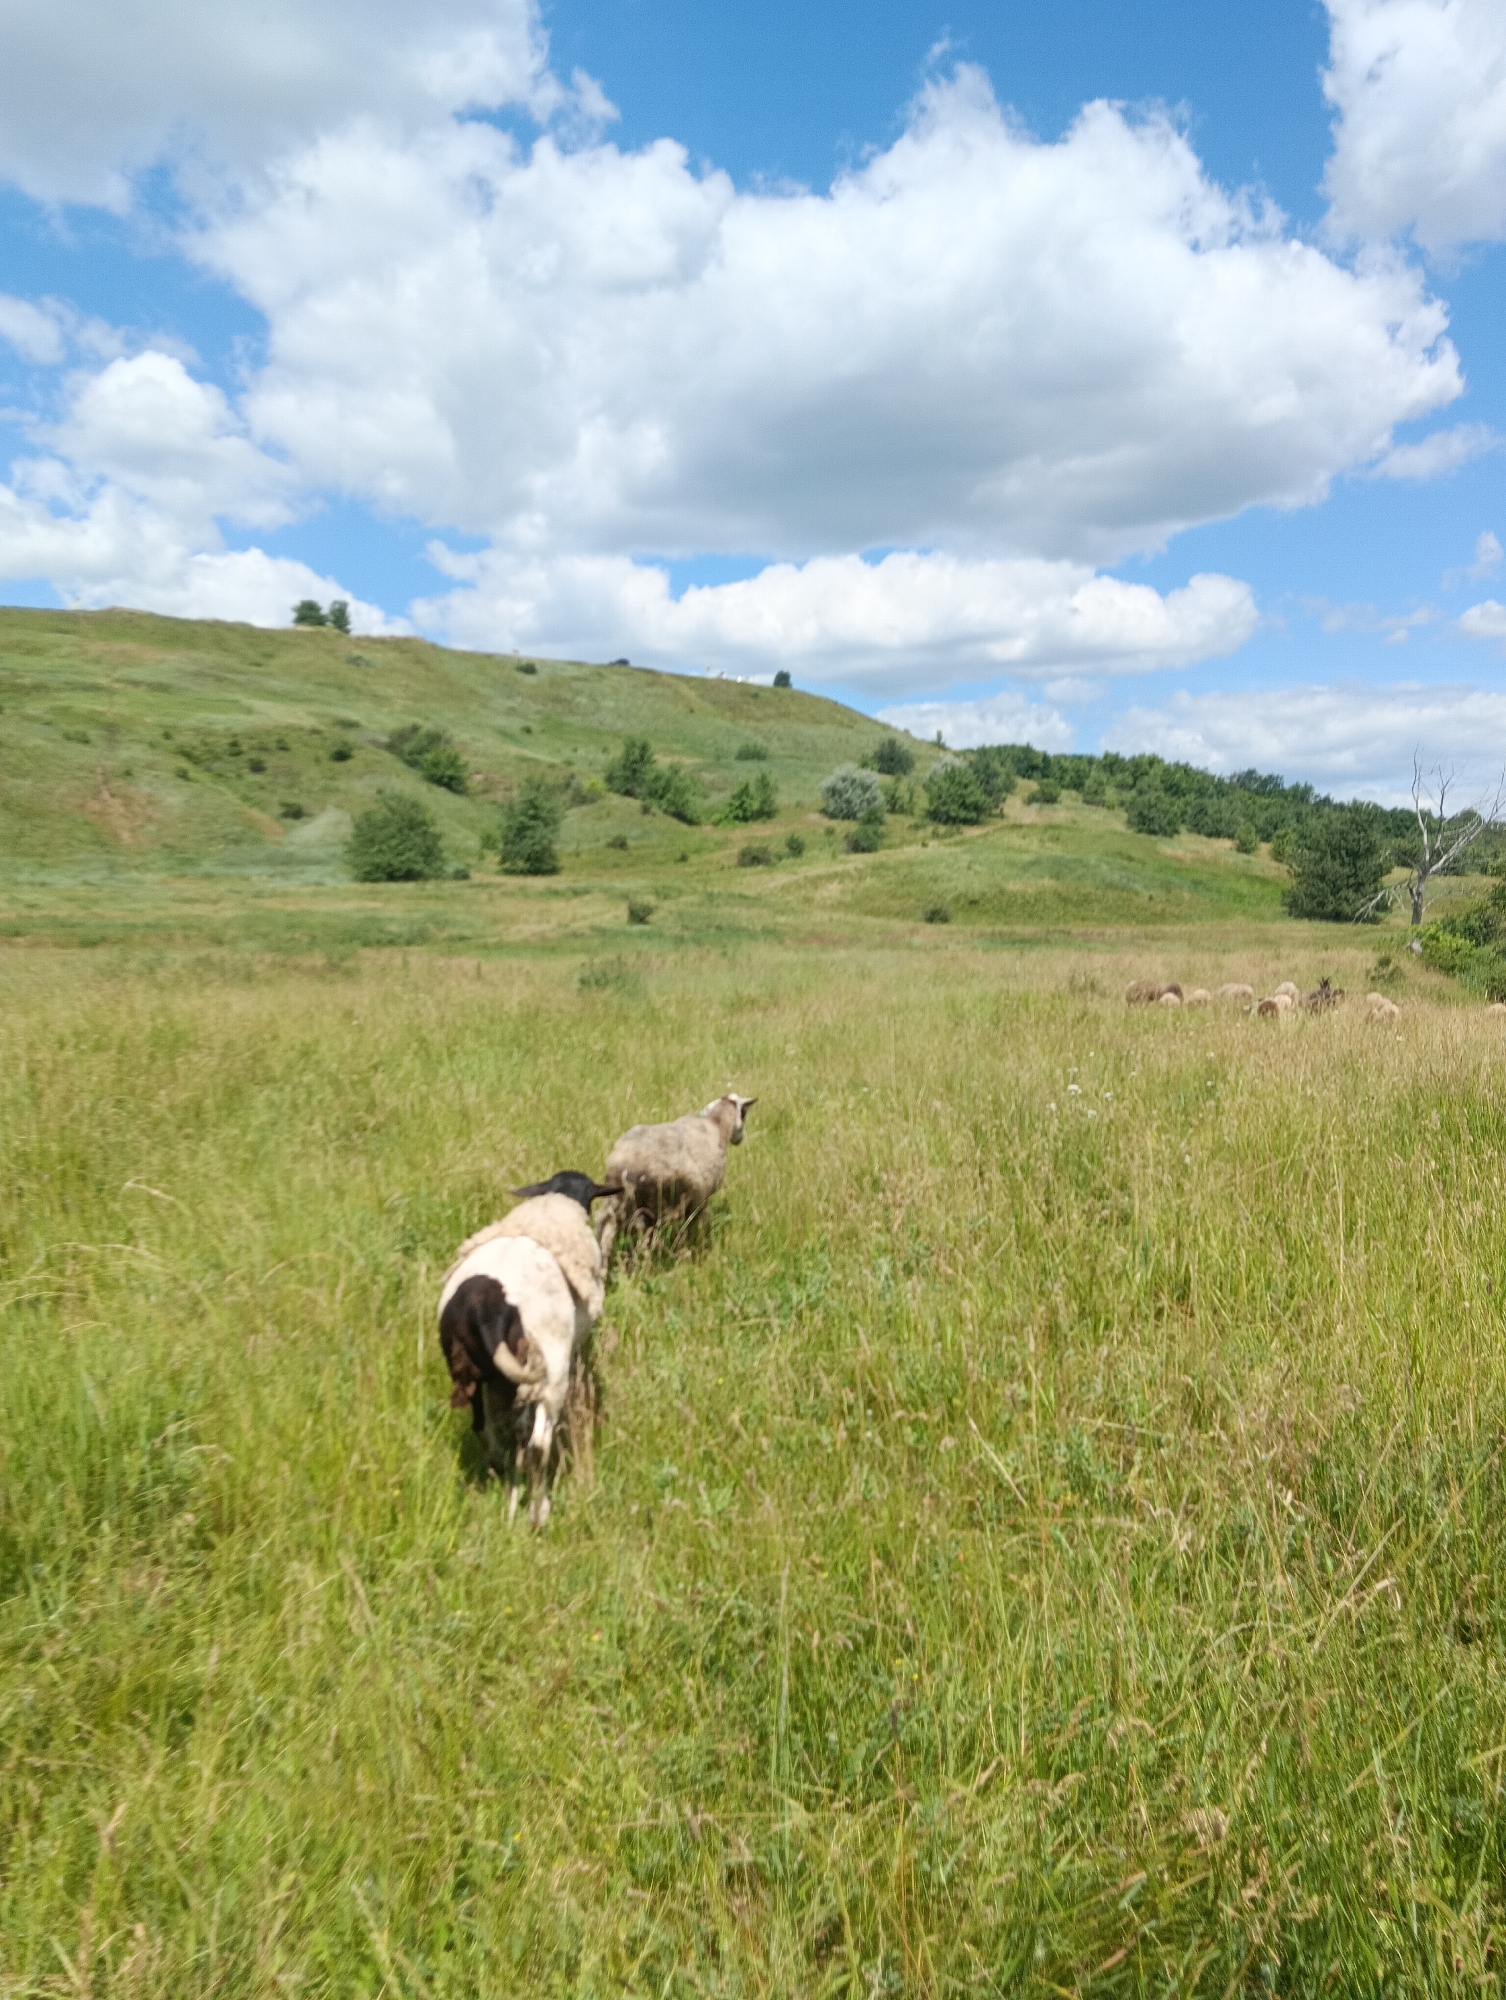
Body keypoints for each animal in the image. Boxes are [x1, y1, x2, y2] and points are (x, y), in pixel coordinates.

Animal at [438, 1171, 619, 1528]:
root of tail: (485, 1312)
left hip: (472, 1375)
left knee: (484, 1429)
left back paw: (506, 1479)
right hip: (550, 1373)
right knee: (537, 1445)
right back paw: (538, 1510)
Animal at [597, 1092, 756, 1263]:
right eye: (744, 1113)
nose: (740, 1139)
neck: (715, 1122)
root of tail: (624, 1168)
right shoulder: (701, 1198)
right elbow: (698, 1225)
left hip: (614, 1206)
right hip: (658, 1204)